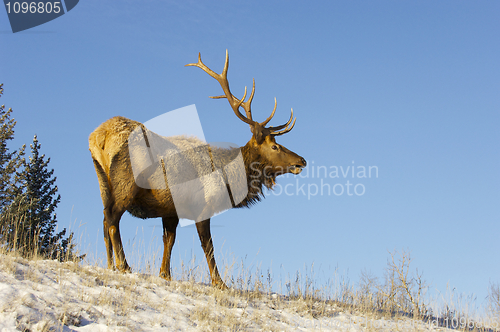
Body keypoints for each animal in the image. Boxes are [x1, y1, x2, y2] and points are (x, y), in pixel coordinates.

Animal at [90, 51, 306, 288]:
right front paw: (219, 282)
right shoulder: (203, 206)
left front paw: (165, 274)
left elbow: (169, 240)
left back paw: (110, 264)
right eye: (275, 146)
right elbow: (207, 245)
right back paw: (123, 264)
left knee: (104, 220)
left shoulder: (170, 210)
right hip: (126, 183)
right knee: (112, 218)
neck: (229, 177)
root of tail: (99, 136)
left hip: (102, 183)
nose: (302, 161)